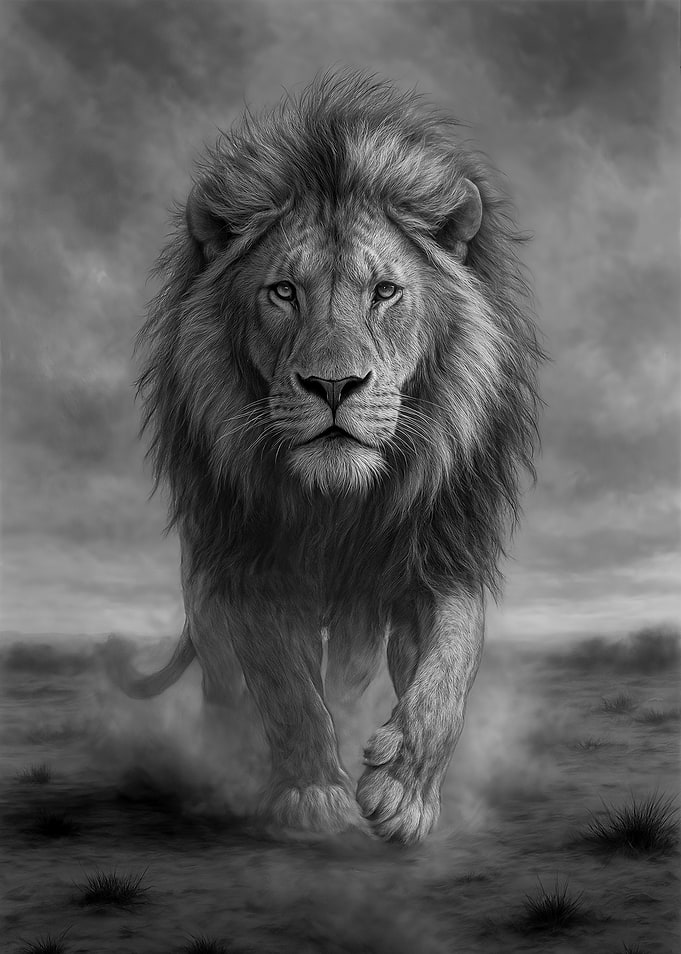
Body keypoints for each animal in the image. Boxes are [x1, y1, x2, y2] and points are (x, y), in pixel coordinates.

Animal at [109, 71, 542, 845]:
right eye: (283, 291)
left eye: (385, 291)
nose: (334, 386)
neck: (340, 507)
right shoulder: (247, 569)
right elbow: (285, 688)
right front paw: (311, 794)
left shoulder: (440, 558)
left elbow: (447, 674)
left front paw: (402, 789)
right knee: (228, 686)